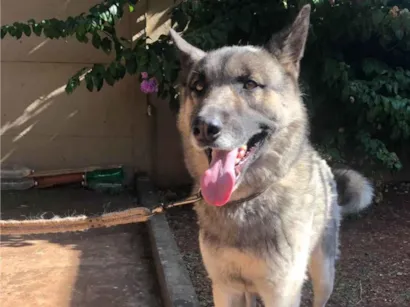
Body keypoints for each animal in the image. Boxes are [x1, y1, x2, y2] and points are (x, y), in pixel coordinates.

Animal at [168, 4, 374, 307]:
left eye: (250, 84)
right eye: (198, 87)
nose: (203, 127)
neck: (245, 201)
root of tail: (322, 163)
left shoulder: (282, 292)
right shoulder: (225, 288)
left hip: (323, 273)